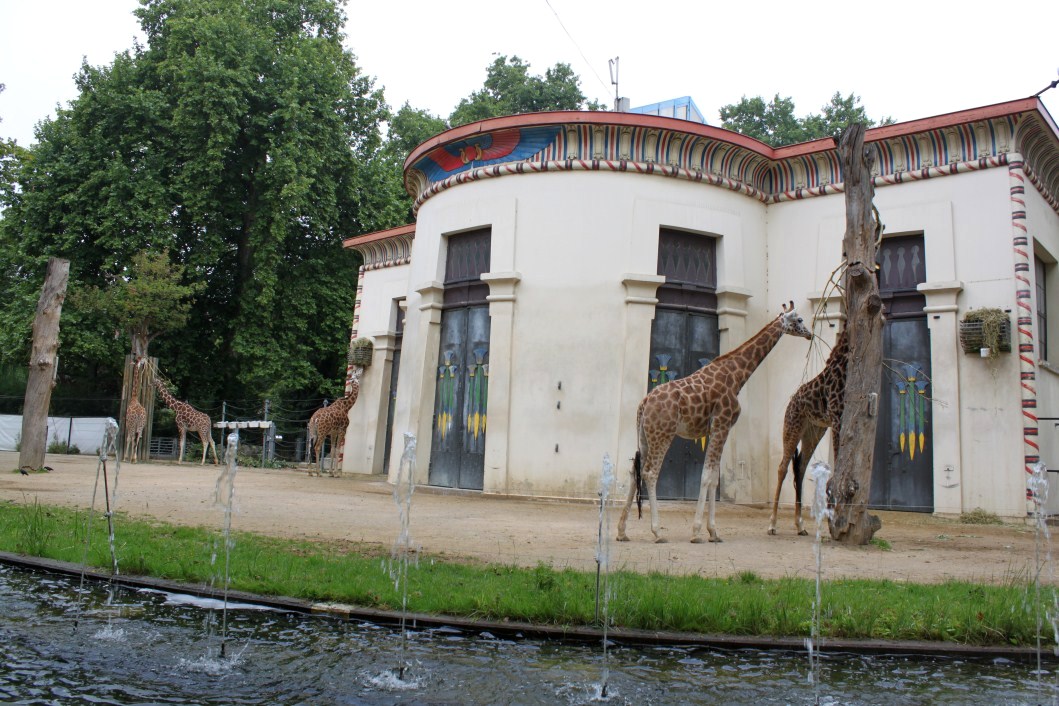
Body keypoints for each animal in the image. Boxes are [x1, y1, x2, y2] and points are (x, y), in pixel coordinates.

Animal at [617, 302, 813, 544]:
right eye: (800, 319)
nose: (810, 334)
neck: (737, 376)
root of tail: (643, 404)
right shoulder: (722, 424)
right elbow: (707, 476)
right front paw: (698, 532)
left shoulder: (717, 430)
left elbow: (714, 478)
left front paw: (713, 532)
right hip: (663, 435)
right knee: (650, 473)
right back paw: (657, 532)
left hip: (645, 436)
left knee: (633, 473)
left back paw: (622, 531)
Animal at [768, 328, 849, 536]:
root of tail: (791, 401)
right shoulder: (837, 416)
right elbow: (838, 458)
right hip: (791, 428)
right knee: (782, 467)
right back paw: (772, 524)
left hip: (814, 432)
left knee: (801, 468)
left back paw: (800, 525)